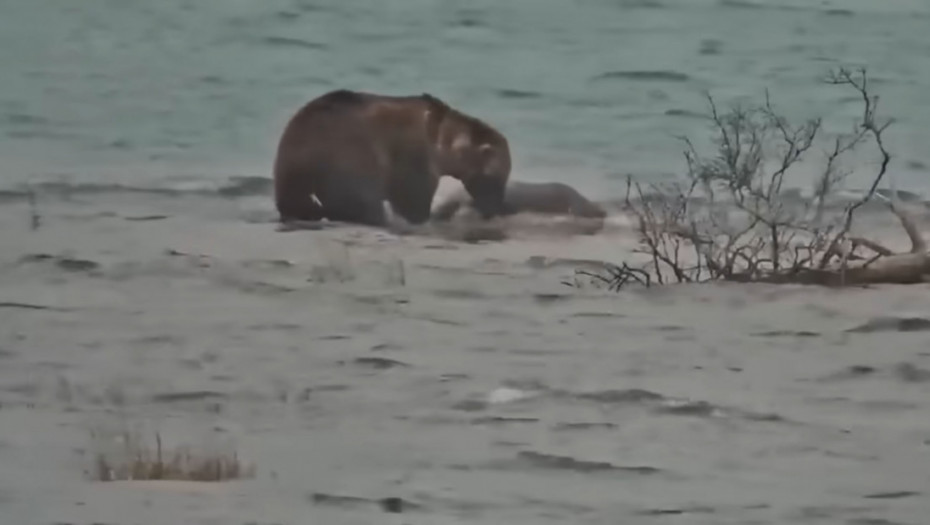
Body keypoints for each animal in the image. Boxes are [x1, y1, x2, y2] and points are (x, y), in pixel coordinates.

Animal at [272, 88, 512, 227]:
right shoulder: (412, 156)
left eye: (503, 177)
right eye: (496, 178)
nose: (494, 209)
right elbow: (412, 198)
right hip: (345, 158)